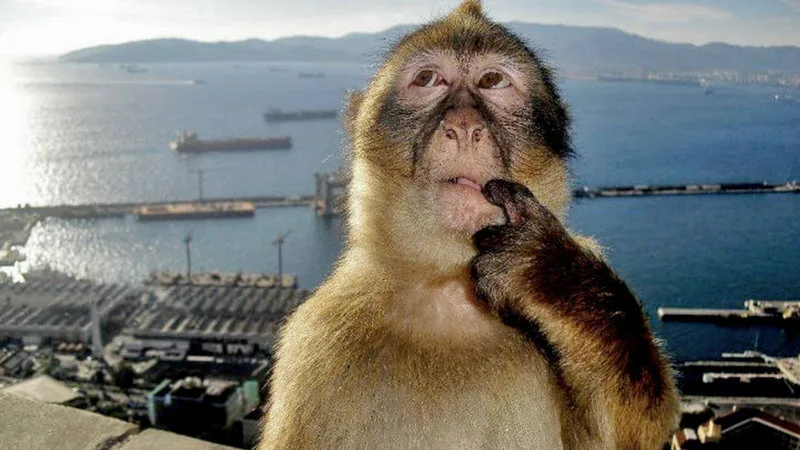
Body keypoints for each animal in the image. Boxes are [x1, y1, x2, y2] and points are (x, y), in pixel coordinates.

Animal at [259, 1, 678, 449]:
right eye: (428, 79)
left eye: (492, 81)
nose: (463, 126)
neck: (449, 287)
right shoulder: (315, 346)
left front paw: (547, 273)